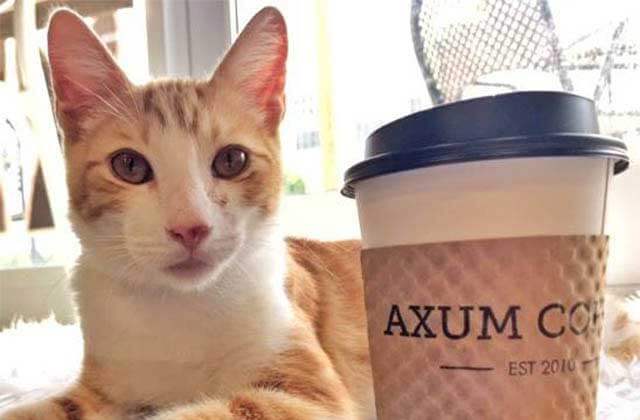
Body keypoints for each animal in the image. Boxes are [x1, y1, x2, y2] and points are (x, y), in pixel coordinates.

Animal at [0, 6, 376, 420]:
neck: (178, 306)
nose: (190, 228)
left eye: (232, 160)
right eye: (129, 165)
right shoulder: (101, 390)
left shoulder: (306, 392)